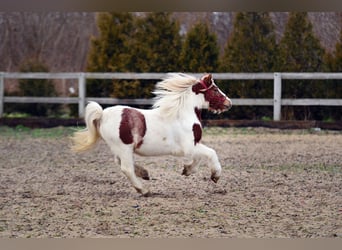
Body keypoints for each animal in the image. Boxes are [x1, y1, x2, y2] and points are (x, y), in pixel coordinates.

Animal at [72, 73, 232, 196]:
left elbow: (198, 159)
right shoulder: (188, 147)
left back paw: (144, 173)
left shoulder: (193, 145)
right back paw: (144, 190)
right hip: (124, 147)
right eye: (216, 89)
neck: (182, 115)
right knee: (126, 168)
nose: (228, 103)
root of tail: (102, 114)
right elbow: (211, 152)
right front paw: (215, 175)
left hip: (120, 148)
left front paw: (187, 170)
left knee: (120, 162)